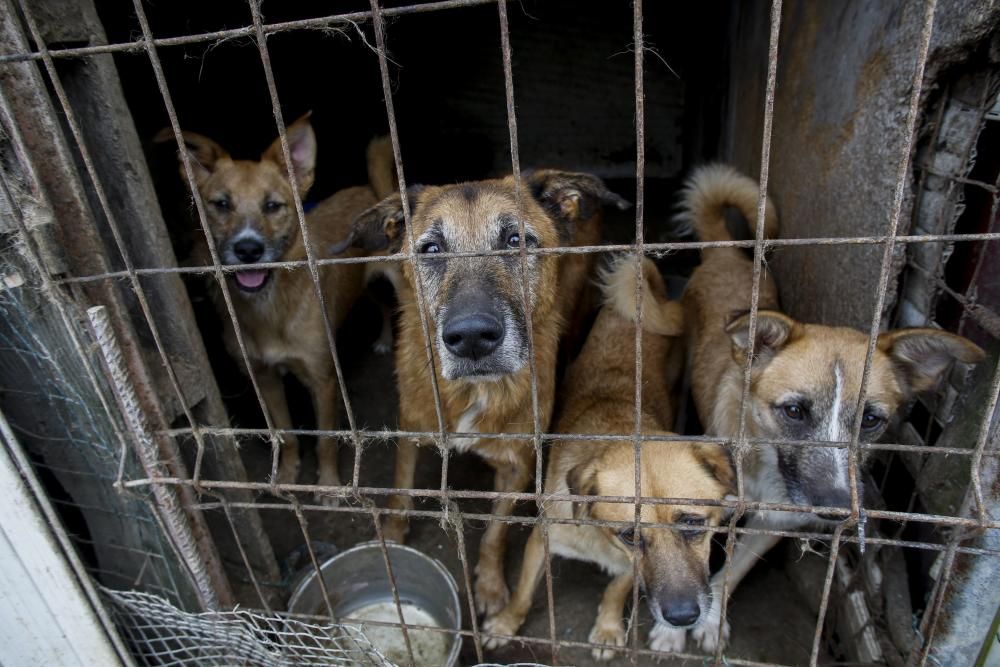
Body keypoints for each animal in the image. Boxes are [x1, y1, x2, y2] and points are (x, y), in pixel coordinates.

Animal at [156, 116, 394, 500]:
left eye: (272, 206)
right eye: (221, 204)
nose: (248, 249)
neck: (269, 309)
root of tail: (372, 192)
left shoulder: (322, 380)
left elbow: (326, 440)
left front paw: (328, 485)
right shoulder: (264, 379)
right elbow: (285, 435)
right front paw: (286, 474)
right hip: (364, 287)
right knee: (382, 307)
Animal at [336, 170, 632, 620]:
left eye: (515, 240)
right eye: (432, 248)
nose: (472, 336)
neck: (473, 392)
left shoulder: (517, 467)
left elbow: (495, 530)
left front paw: (491, 586)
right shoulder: (412, 430)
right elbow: (401, 490)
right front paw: (392, 536)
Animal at [480, 258, 732, 664]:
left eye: (694, 523)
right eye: (630, 534)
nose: (682, 617)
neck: (599, 539)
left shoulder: (631, 568)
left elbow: (615, 590)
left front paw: (609, 629)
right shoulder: (542, 540)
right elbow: (523, 591)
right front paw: (505, 623)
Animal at [672, 164, 984, 656]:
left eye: (871, 420)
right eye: (795, 411)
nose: (838, 511)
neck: (763, 464)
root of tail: (727, 254)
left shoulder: (775, 521)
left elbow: (733, 569)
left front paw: (712, 617)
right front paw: (669, 632)